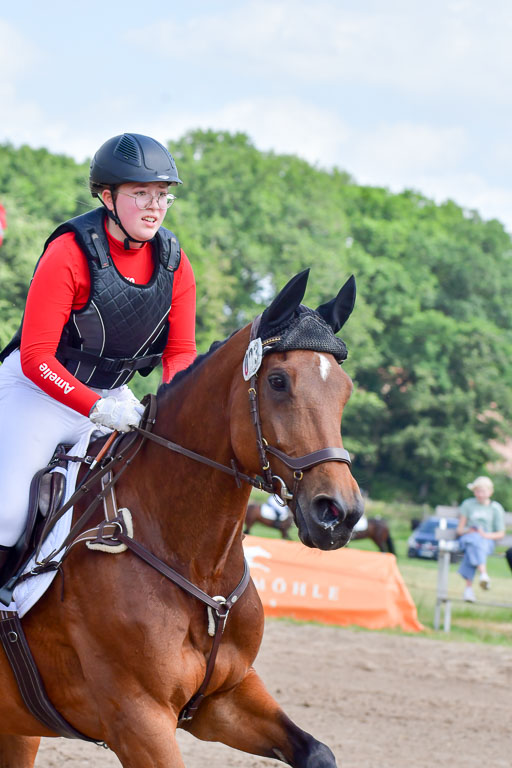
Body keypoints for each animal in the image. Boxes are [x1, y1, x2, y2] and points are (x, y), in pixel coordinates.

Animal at [0, 269, 363, 768]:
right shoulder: (138, 719)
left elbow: (317, 752)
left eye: (345, 389)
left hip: (20, 729)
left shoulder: (224, 698)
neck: (197, 562)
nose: (339, 513)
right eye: (277, 381)